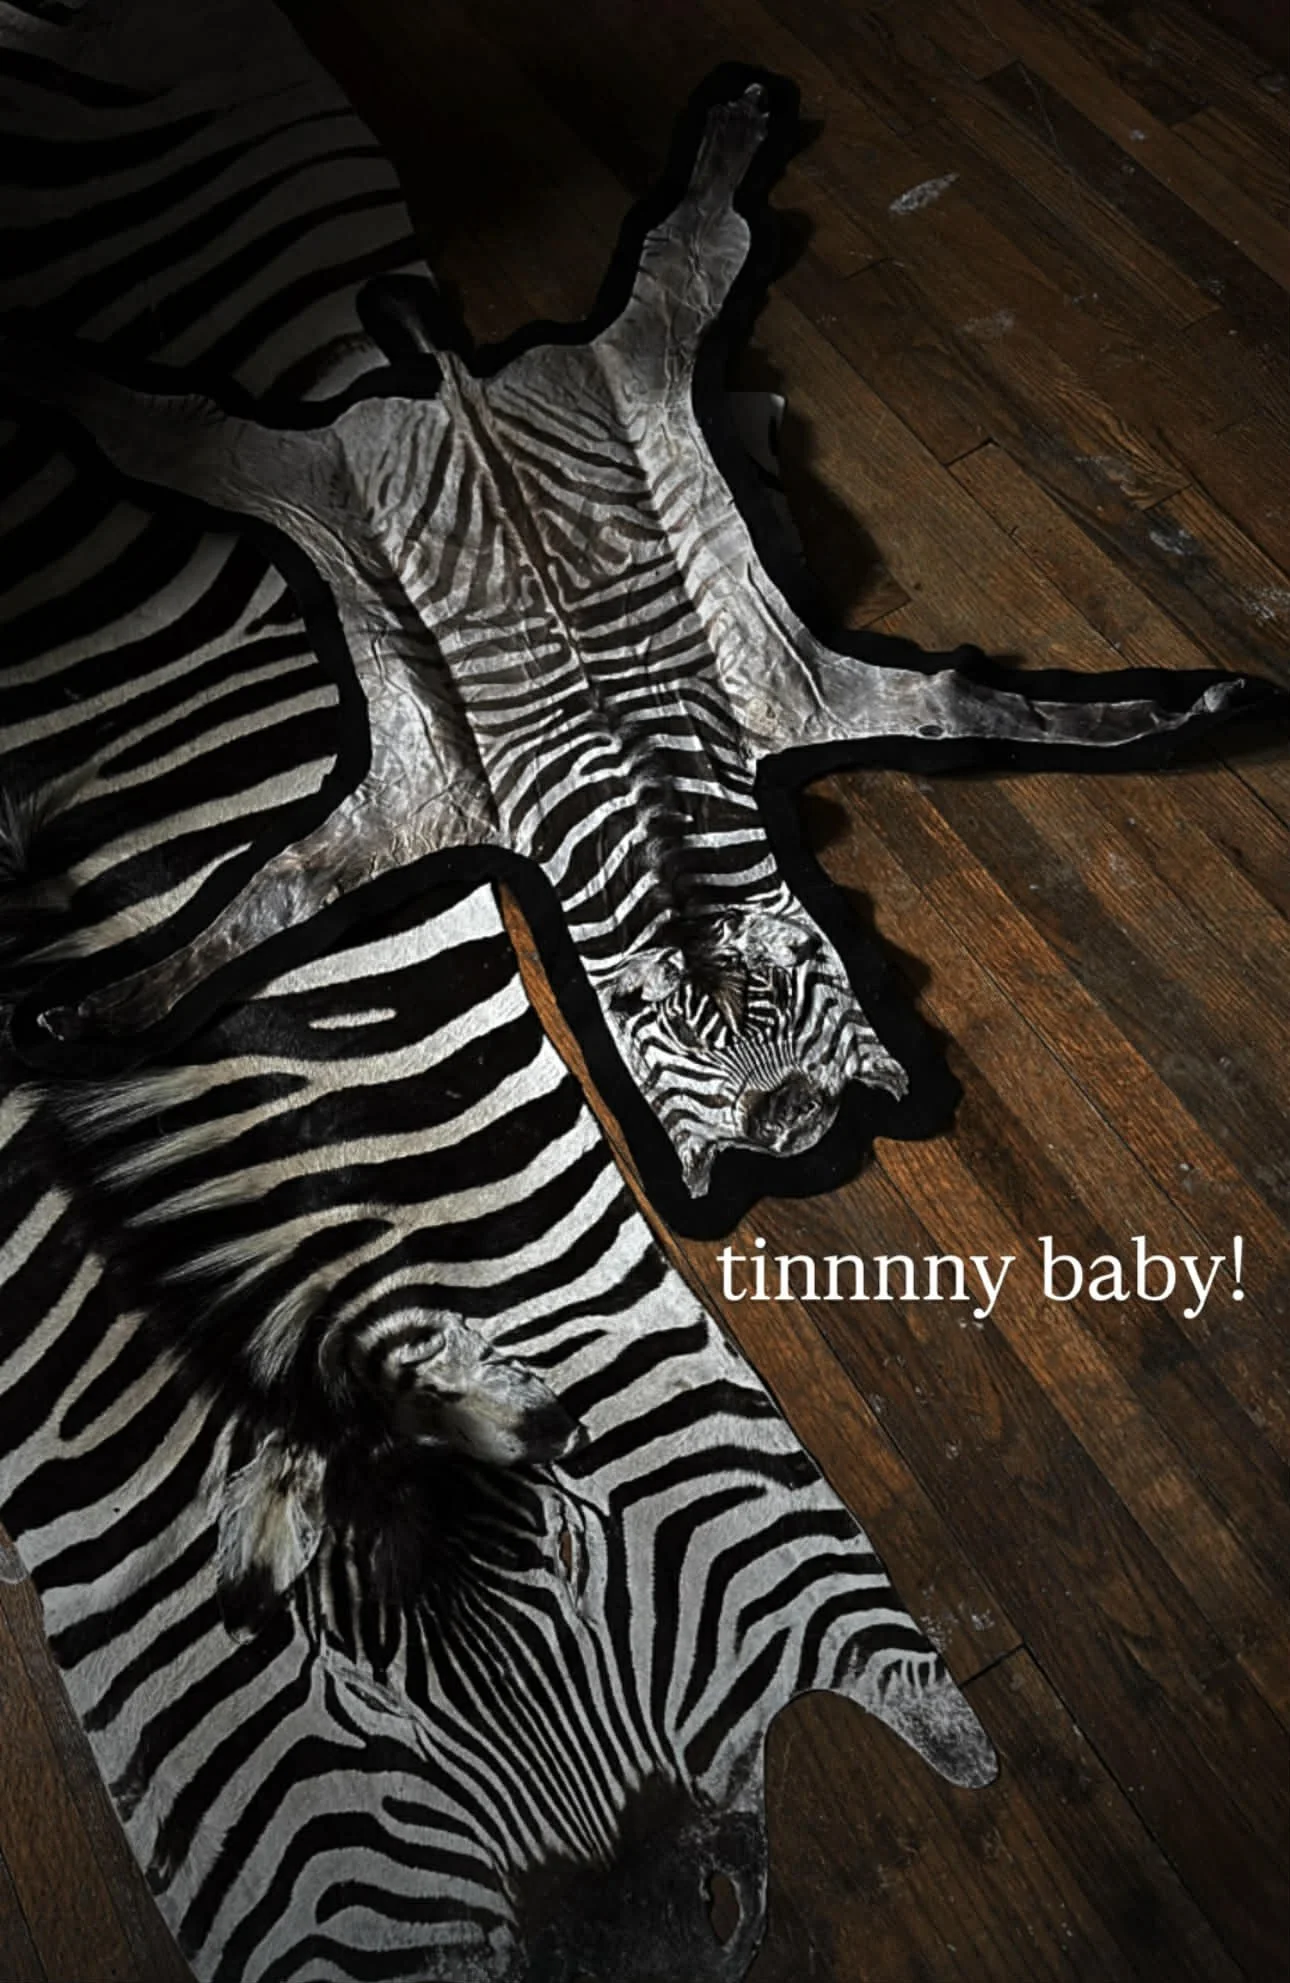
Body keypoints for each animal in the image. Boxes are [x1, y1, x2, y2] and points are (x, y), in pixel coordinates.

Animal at [4, 63, 1273, 1219]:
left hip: (622, 367)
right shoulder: (414, 802)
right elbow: (262, 904)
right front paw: (96, 1017)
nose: (793, 1127)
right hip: (314, 477)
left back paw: (735, 124)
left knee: (687, 248)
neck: (650, 813)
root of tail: (455, 374)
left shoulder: (804, 692)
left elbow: (994, 711)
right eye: (675, 1047)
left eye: (791, 1008)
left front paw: (1195, 708)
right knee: (172, 428)